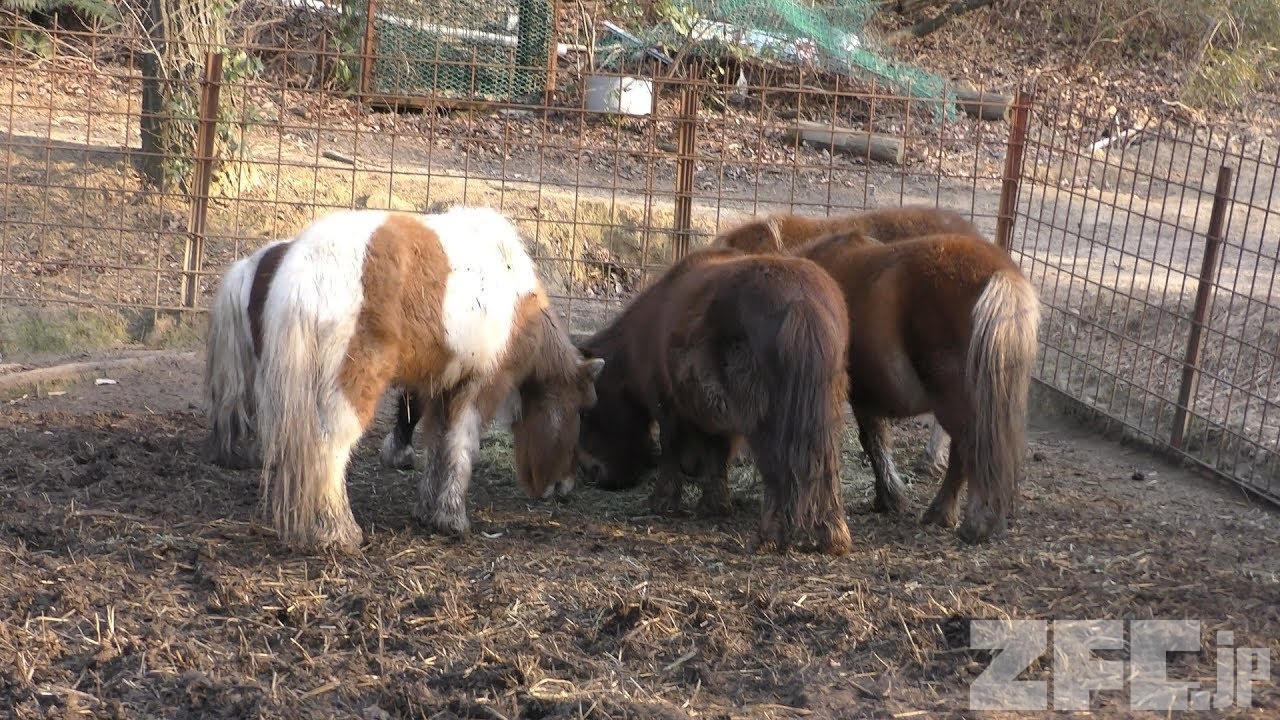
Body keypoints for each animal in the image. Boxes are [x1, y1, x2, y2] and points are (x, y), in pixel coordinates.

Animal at [207, 204, 606, 550]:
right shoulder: (479, 387)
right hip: (350, 388)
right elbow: (461, 447)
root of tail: (303, 274)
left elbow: (439, 444)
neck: (516, 300)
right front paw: (452, 517)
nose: (564, 486)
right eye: (582, 410)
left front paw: (430, 511)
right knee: (328, 449)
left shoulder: (442, 386)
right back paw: (338, 532)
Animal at [576, 245, 855, 556]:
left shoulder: (668, 406)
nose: (592, 473)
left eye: (587, 411)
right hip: (824, 416)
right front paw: (714, 505)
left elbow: (671, 449)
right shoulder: (714, 417)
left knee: (778, 473)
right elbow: (717, 455)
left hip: (767, 422)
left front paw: (663, 502)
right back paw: (833, 537)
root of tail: (803, 303)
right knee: (826, 468)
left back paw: (768, 538)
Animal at [783, 233, 1044, 540]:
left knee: (967, 449)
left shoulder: (859, 397)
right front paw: (889, 497)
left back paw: (962, 519)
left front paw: (889, 498)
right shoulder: (867, 398)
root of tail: (1001, 270)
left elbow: (871, 441)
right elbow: (878, 441)